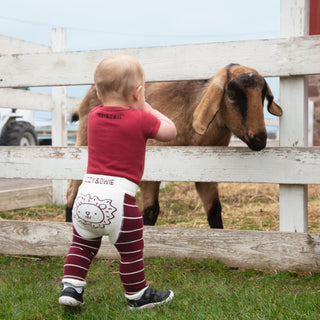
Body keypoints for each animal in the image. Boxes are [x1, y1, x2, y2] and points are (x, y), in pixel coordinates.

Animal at [65, 63, 282, 228]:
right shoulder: (152, 170)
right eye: (231, 93)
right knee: (72, 191)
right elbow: (151, 211)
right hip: (84, 143)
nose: (260, 140)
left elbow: (214, 211)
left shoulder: (206, 173)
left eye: (263, 94)